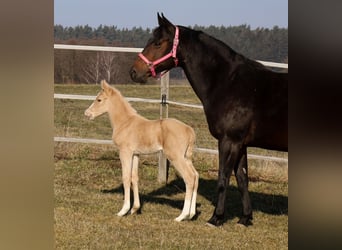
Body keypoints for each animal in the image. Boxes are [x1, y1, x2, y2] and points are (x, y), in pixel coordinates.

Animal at [84, 79, 199, 221]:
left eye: (99, 99)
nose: (87, 113)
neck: (125, 122)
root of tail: (189, 130)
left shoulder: (125, 152)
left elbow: (126, 177)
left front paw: (123, 210)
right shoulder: (136, 154)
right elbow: (134, 177)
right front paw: (135, 209)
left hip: (176, 157)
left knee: (189, 177)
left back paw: (182, 216)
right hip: (187, 157)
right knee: (196, 176)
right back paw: (192, 214)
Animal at [130, 12, 288, 226]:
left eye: (158, 43)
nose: (133, 72)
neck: (230, 83)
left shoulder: (229, 141)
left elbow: (223, 178)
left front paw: (216, 217)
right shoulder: (241, 144)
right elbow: (242, 179)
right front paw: (246, 218)